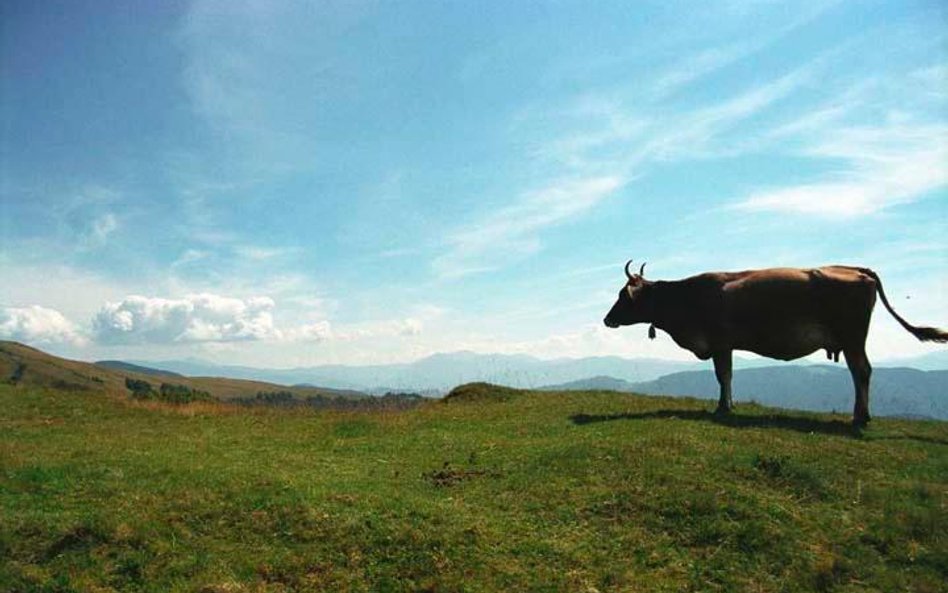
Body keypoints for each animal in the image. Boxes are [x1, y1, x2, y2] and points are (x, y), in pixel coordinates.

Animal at [604, 262, 944, 428]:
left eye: (622, 295)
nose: (607, 319)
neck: (686, 299)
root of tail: (858, 269)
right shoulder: (724, 345)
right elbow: (727, 376)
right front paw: (728, 405)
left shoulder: (720, 343)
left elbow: (723, 376)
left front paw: (723, 407)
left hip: (852, 339)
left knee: (861, 372)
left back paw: (860, 416)